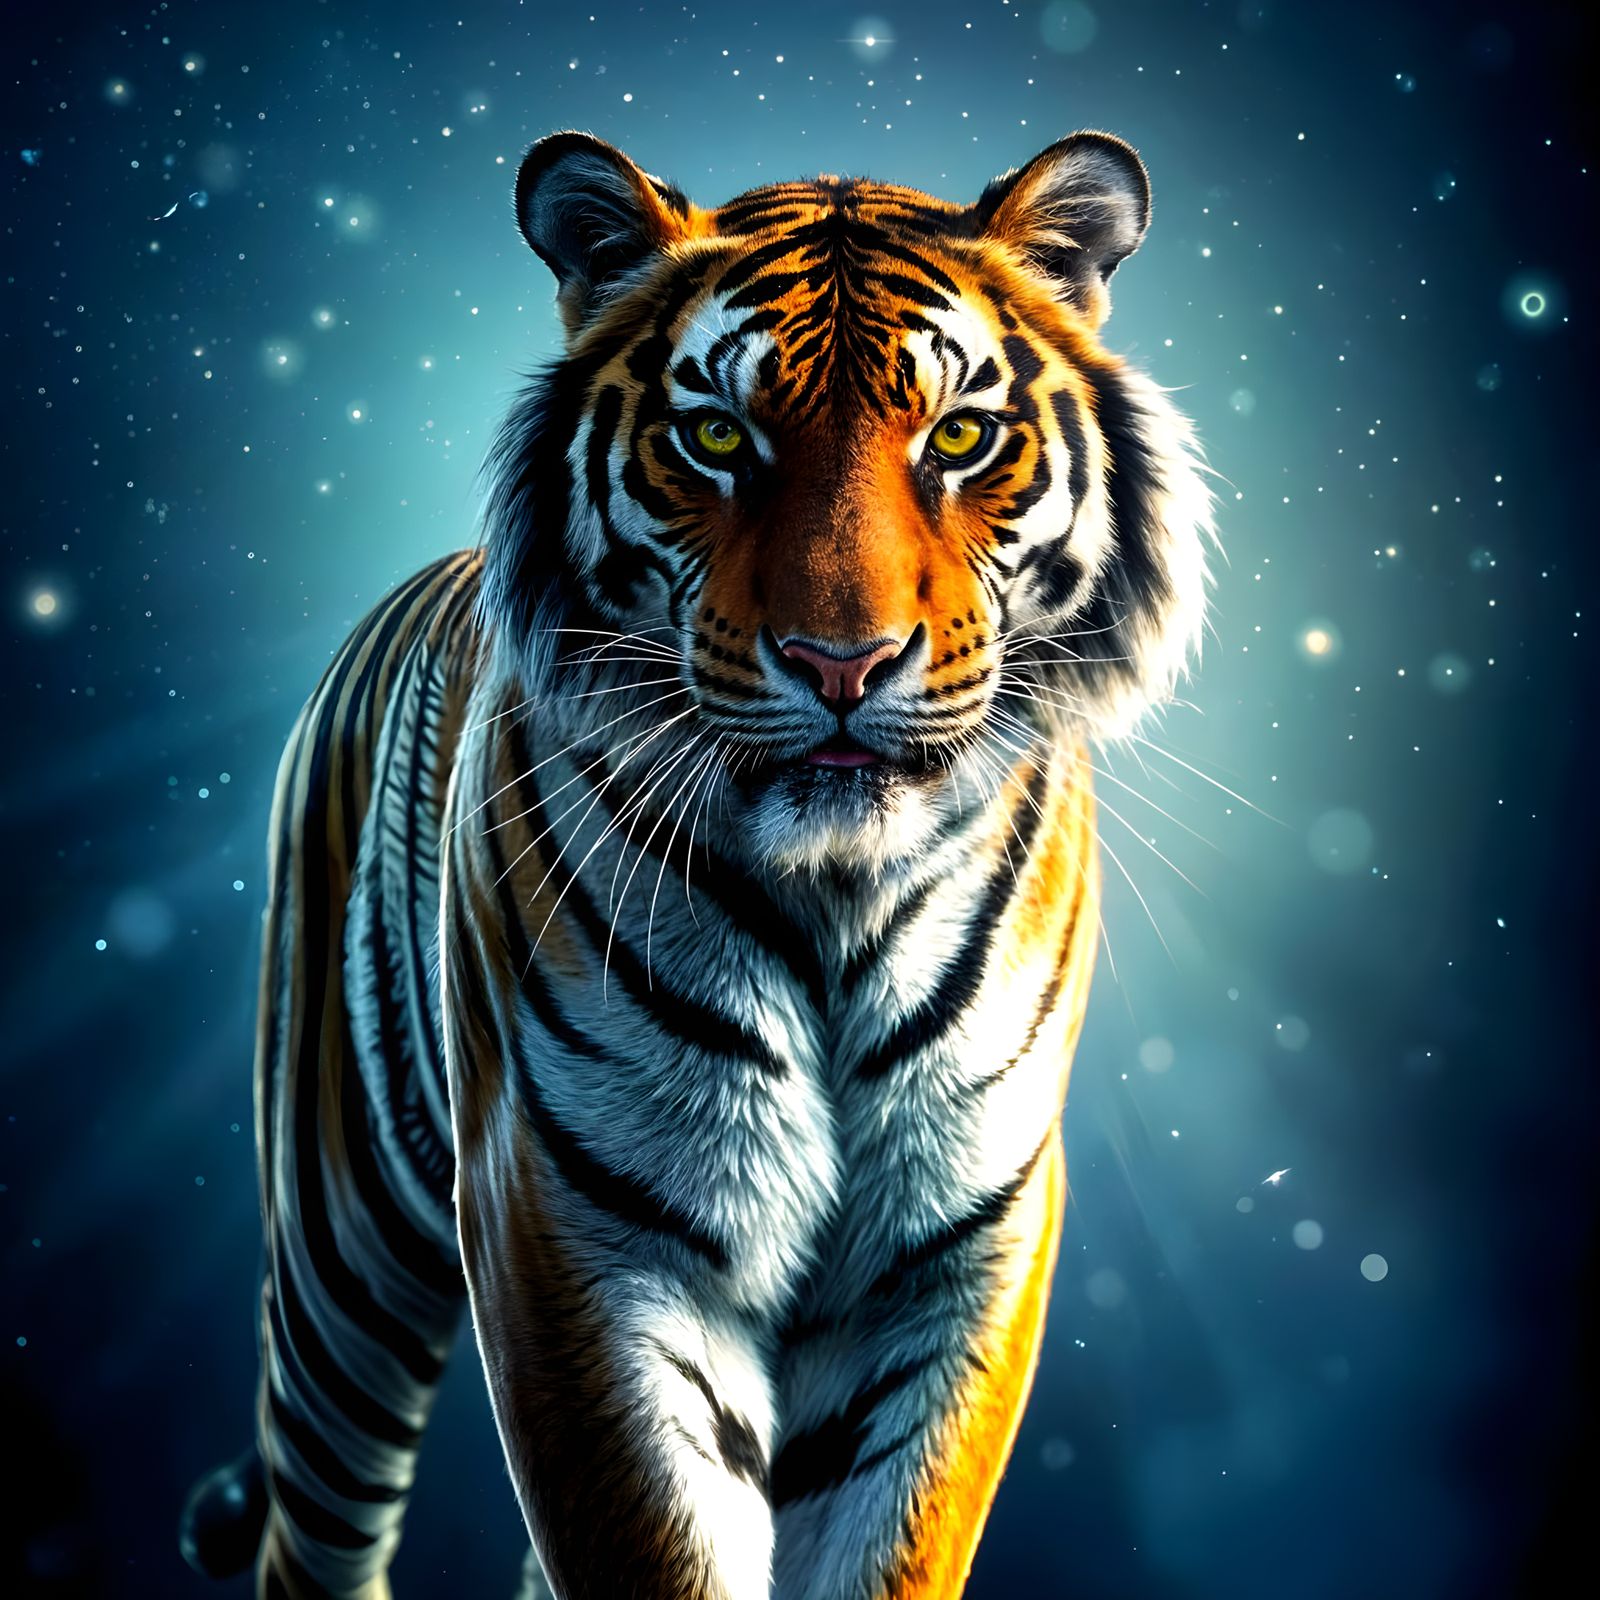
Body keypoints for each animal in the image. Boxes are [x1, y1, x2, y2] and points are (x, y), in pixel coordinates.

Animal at [177, 128, 1213, 1600]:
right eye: (717, 435)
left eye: (959, 435)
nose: (843, 662)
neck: (836, 893)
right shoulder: (576, 1228)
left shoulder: (962, 1243)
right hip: (342, 1258)